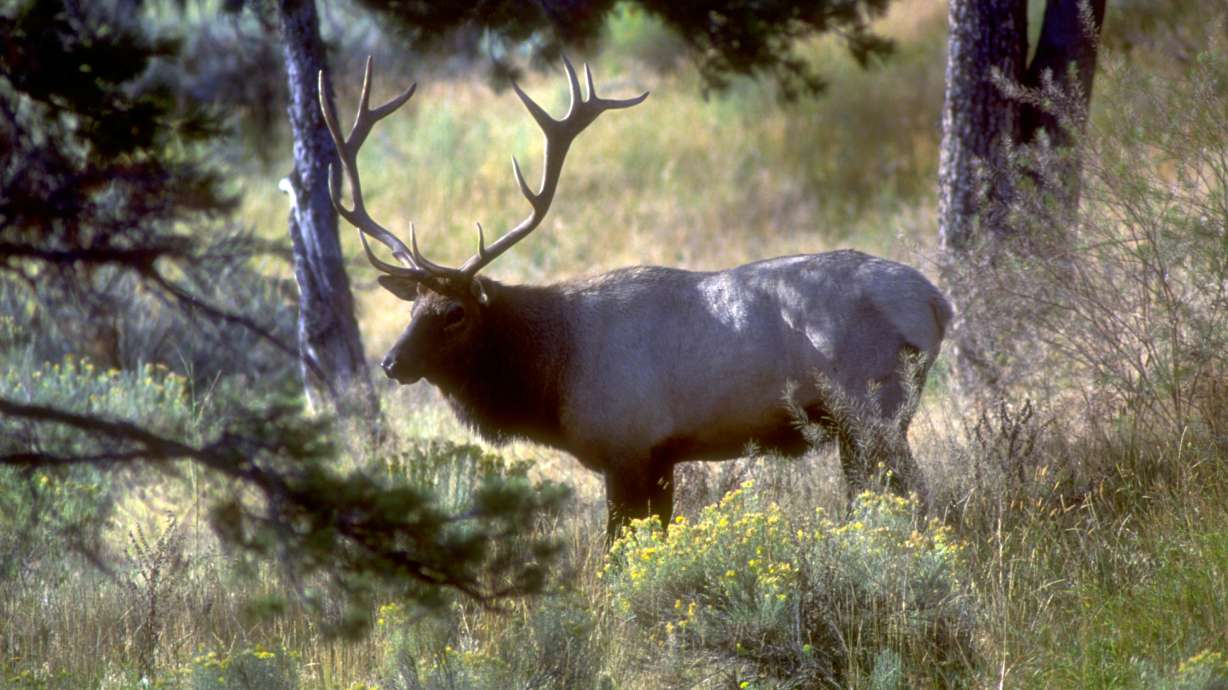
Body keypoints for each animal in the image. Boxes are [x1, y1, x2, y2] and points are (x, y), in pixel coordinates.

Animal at [319, 58, 953, 543]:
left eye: (454, 313)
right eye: (411, 307)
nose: (391, 362)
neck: (554, 372)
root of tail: (937, 303)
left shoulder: (625, 446)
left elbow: (619, 550)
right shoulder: (662, 457)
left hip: (874, 410)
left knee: (918, 495)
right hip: (860, 428)